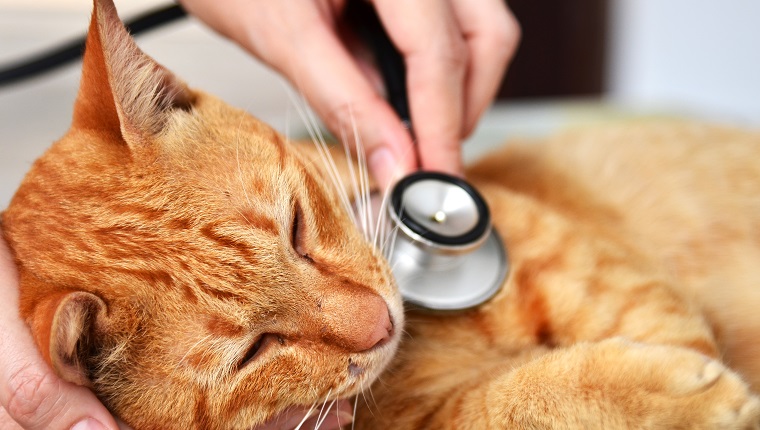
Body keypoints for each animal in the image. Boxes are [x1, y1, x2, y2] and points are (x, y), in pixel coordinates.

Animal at [1, 0, 760, 430]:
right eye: (256, 351)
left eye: (297, 227)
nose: (382, 324)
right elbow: (522, 399)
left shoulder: (574, 260)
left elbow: (655, 319)